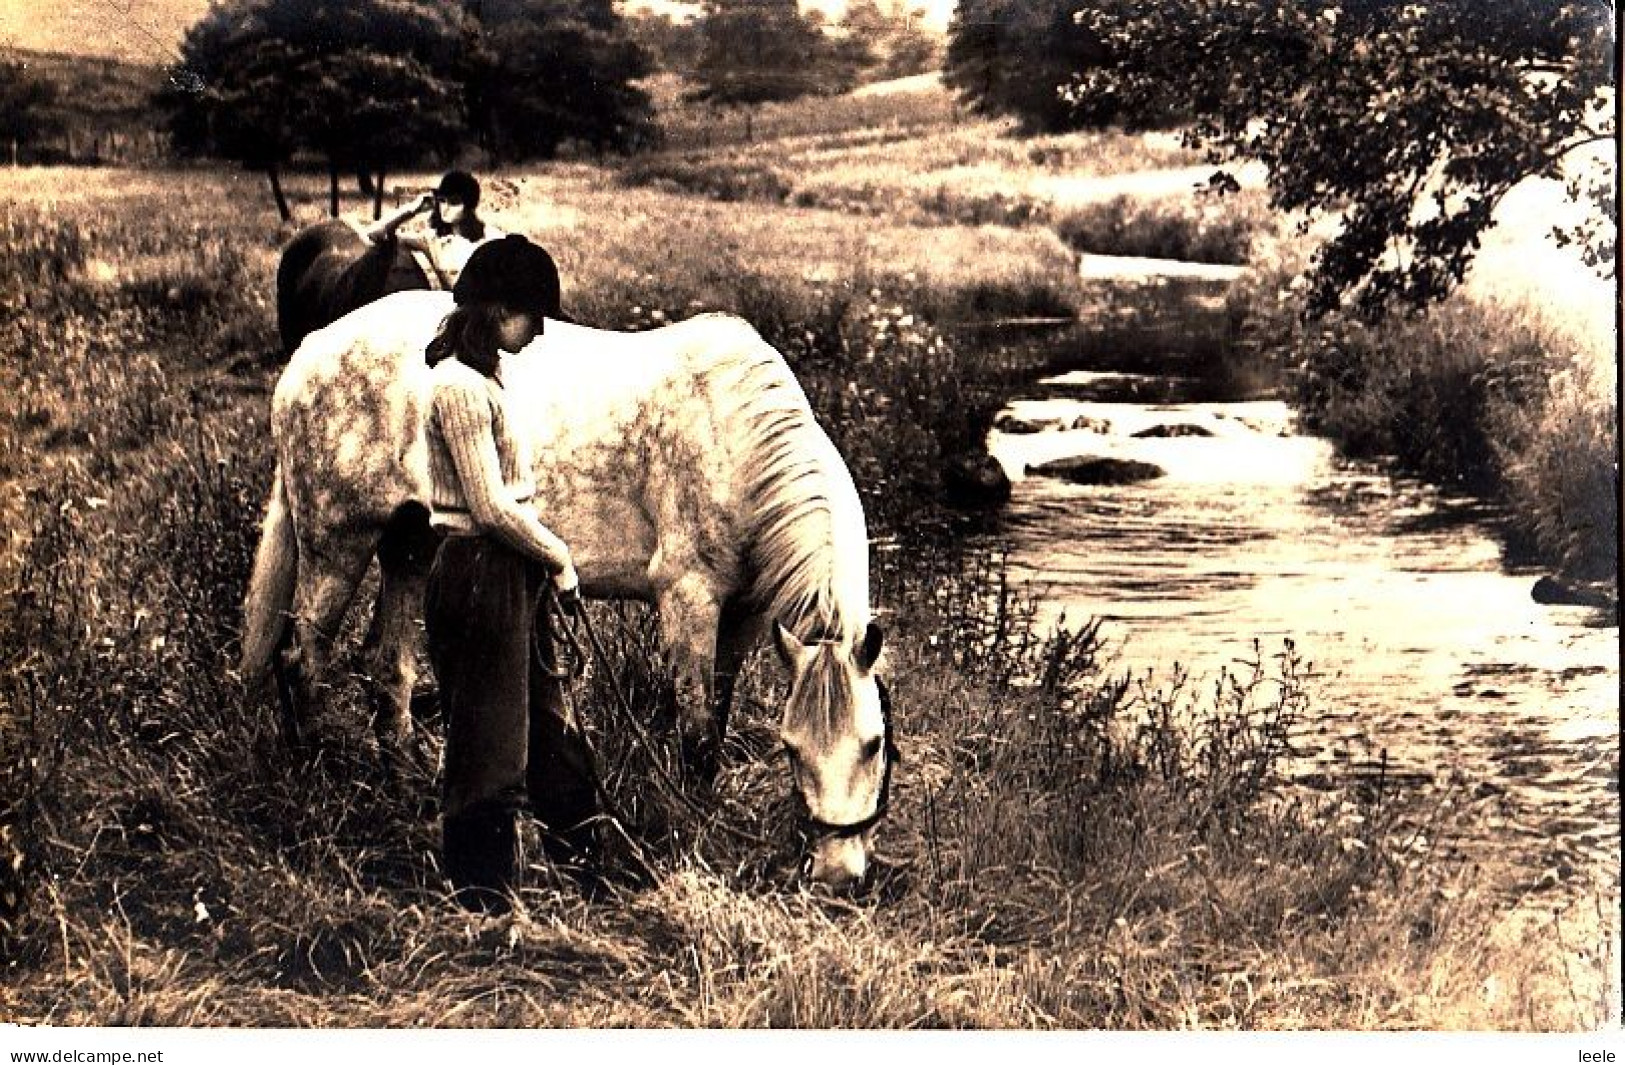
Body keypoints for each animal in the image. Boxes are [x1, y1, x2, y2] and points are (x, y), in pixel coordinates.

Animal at [237, 289, 903, 884]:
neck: (735, 439)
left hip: (411, 549)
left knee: (386, 668)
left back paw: (401, 789)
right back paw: (316, 782)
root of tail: (309, 353)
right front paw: (695, 824)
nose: (840, 878)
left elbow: (717, 712)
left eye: (874, 745)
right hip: (337, 546)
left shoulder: (743, 618)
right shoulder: (688, 601)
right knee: (301, 660)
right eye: (791, 748)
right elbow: (696, 733)